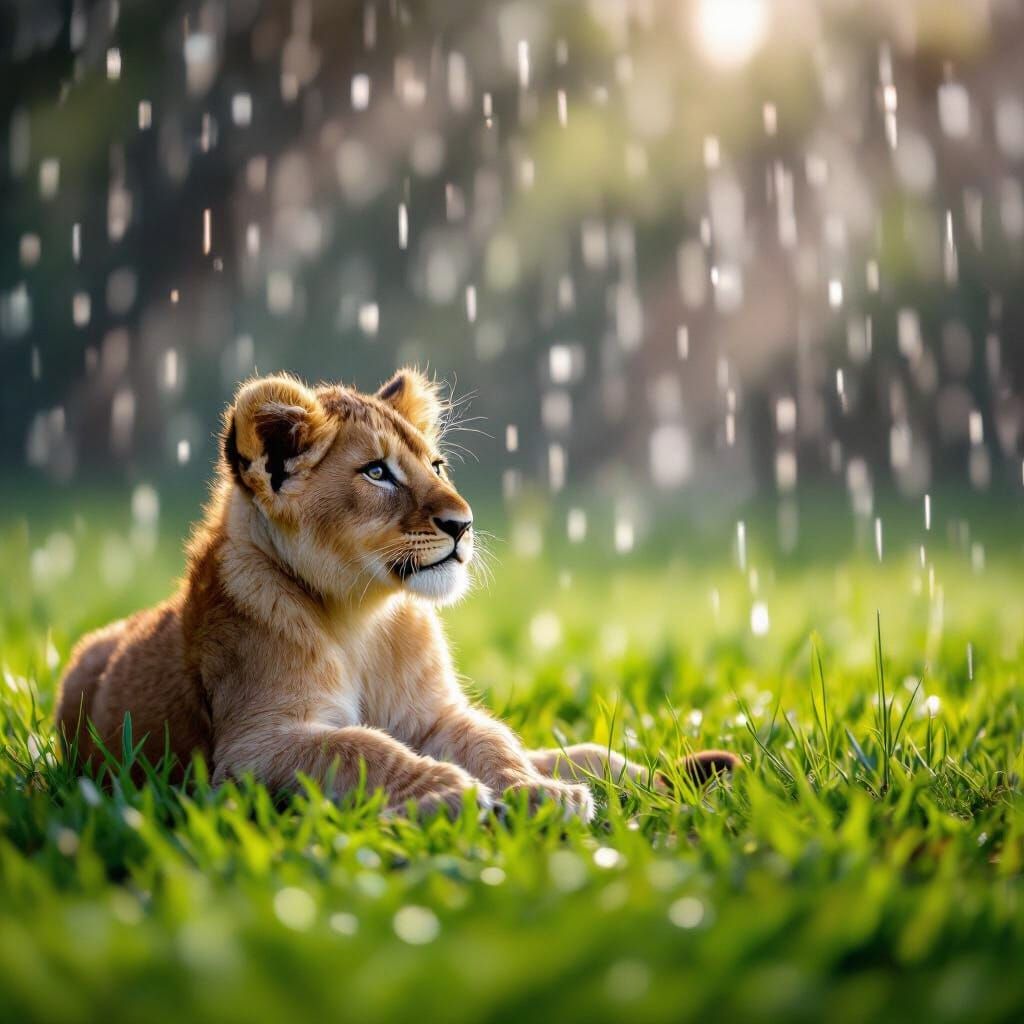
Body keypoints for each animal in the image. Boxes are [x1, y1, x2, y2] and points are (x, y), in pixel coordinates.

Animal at [57, 370, 735, 819]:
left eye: (435, 466)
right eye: (377, 472)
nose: (463, 524)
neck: (359, 613)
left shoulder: (434, 713)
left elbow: (488, 741)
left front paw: (532, 791)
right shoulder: (249, 749)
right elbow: (361, 747)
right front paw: (450, 792)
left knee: (578, 752)